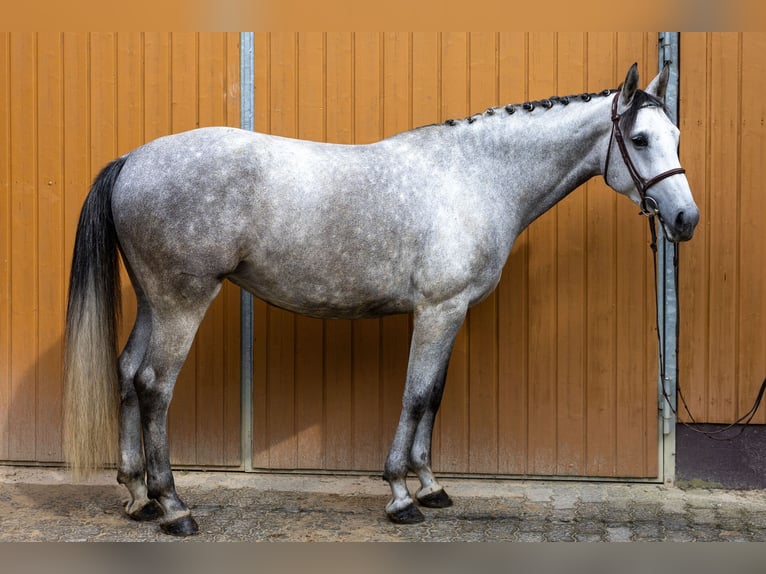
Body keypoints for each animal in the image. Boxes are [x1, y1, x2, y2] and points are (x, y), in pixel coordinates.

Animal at [63, 63, 698, 536]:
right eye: (639, 139)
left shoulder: (451, 313)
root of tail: (133, 160)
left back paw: (138, 497)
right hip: (182, 301)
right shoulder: (438, 310)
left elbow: (433, 396)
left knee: (127, 373)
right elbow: (415, 395)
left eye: (676, 137)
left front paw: (431, 486)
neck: (474, 176)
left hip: (154, 301)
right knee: (154, 386)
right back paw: (174, 507)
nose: (686, 220)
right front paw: (400, 495)